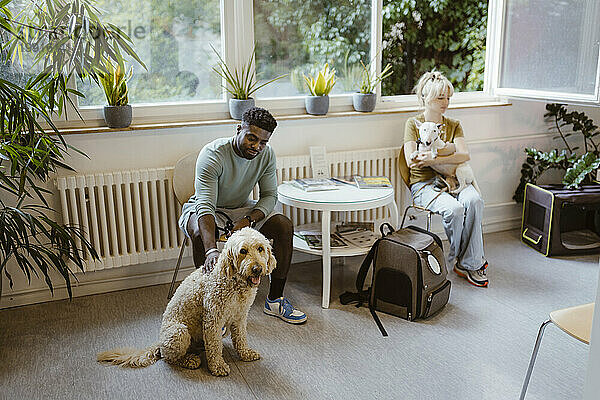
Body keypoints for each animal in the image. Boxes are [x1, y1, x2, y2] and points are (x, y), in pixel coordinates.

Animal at [97, 227, 276, 376]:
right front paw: (217, 366)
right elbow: (215, 346)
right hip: (179, 332)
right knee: (169, 358)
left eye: (260, 248)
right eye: (243, 251)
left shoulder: (240, 317)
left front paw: (245, 353)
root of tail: (159, 343)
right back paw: (189, 360)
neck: (235, 283)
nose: (257, 269)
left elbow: (241, 338)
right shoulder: (213, 320)